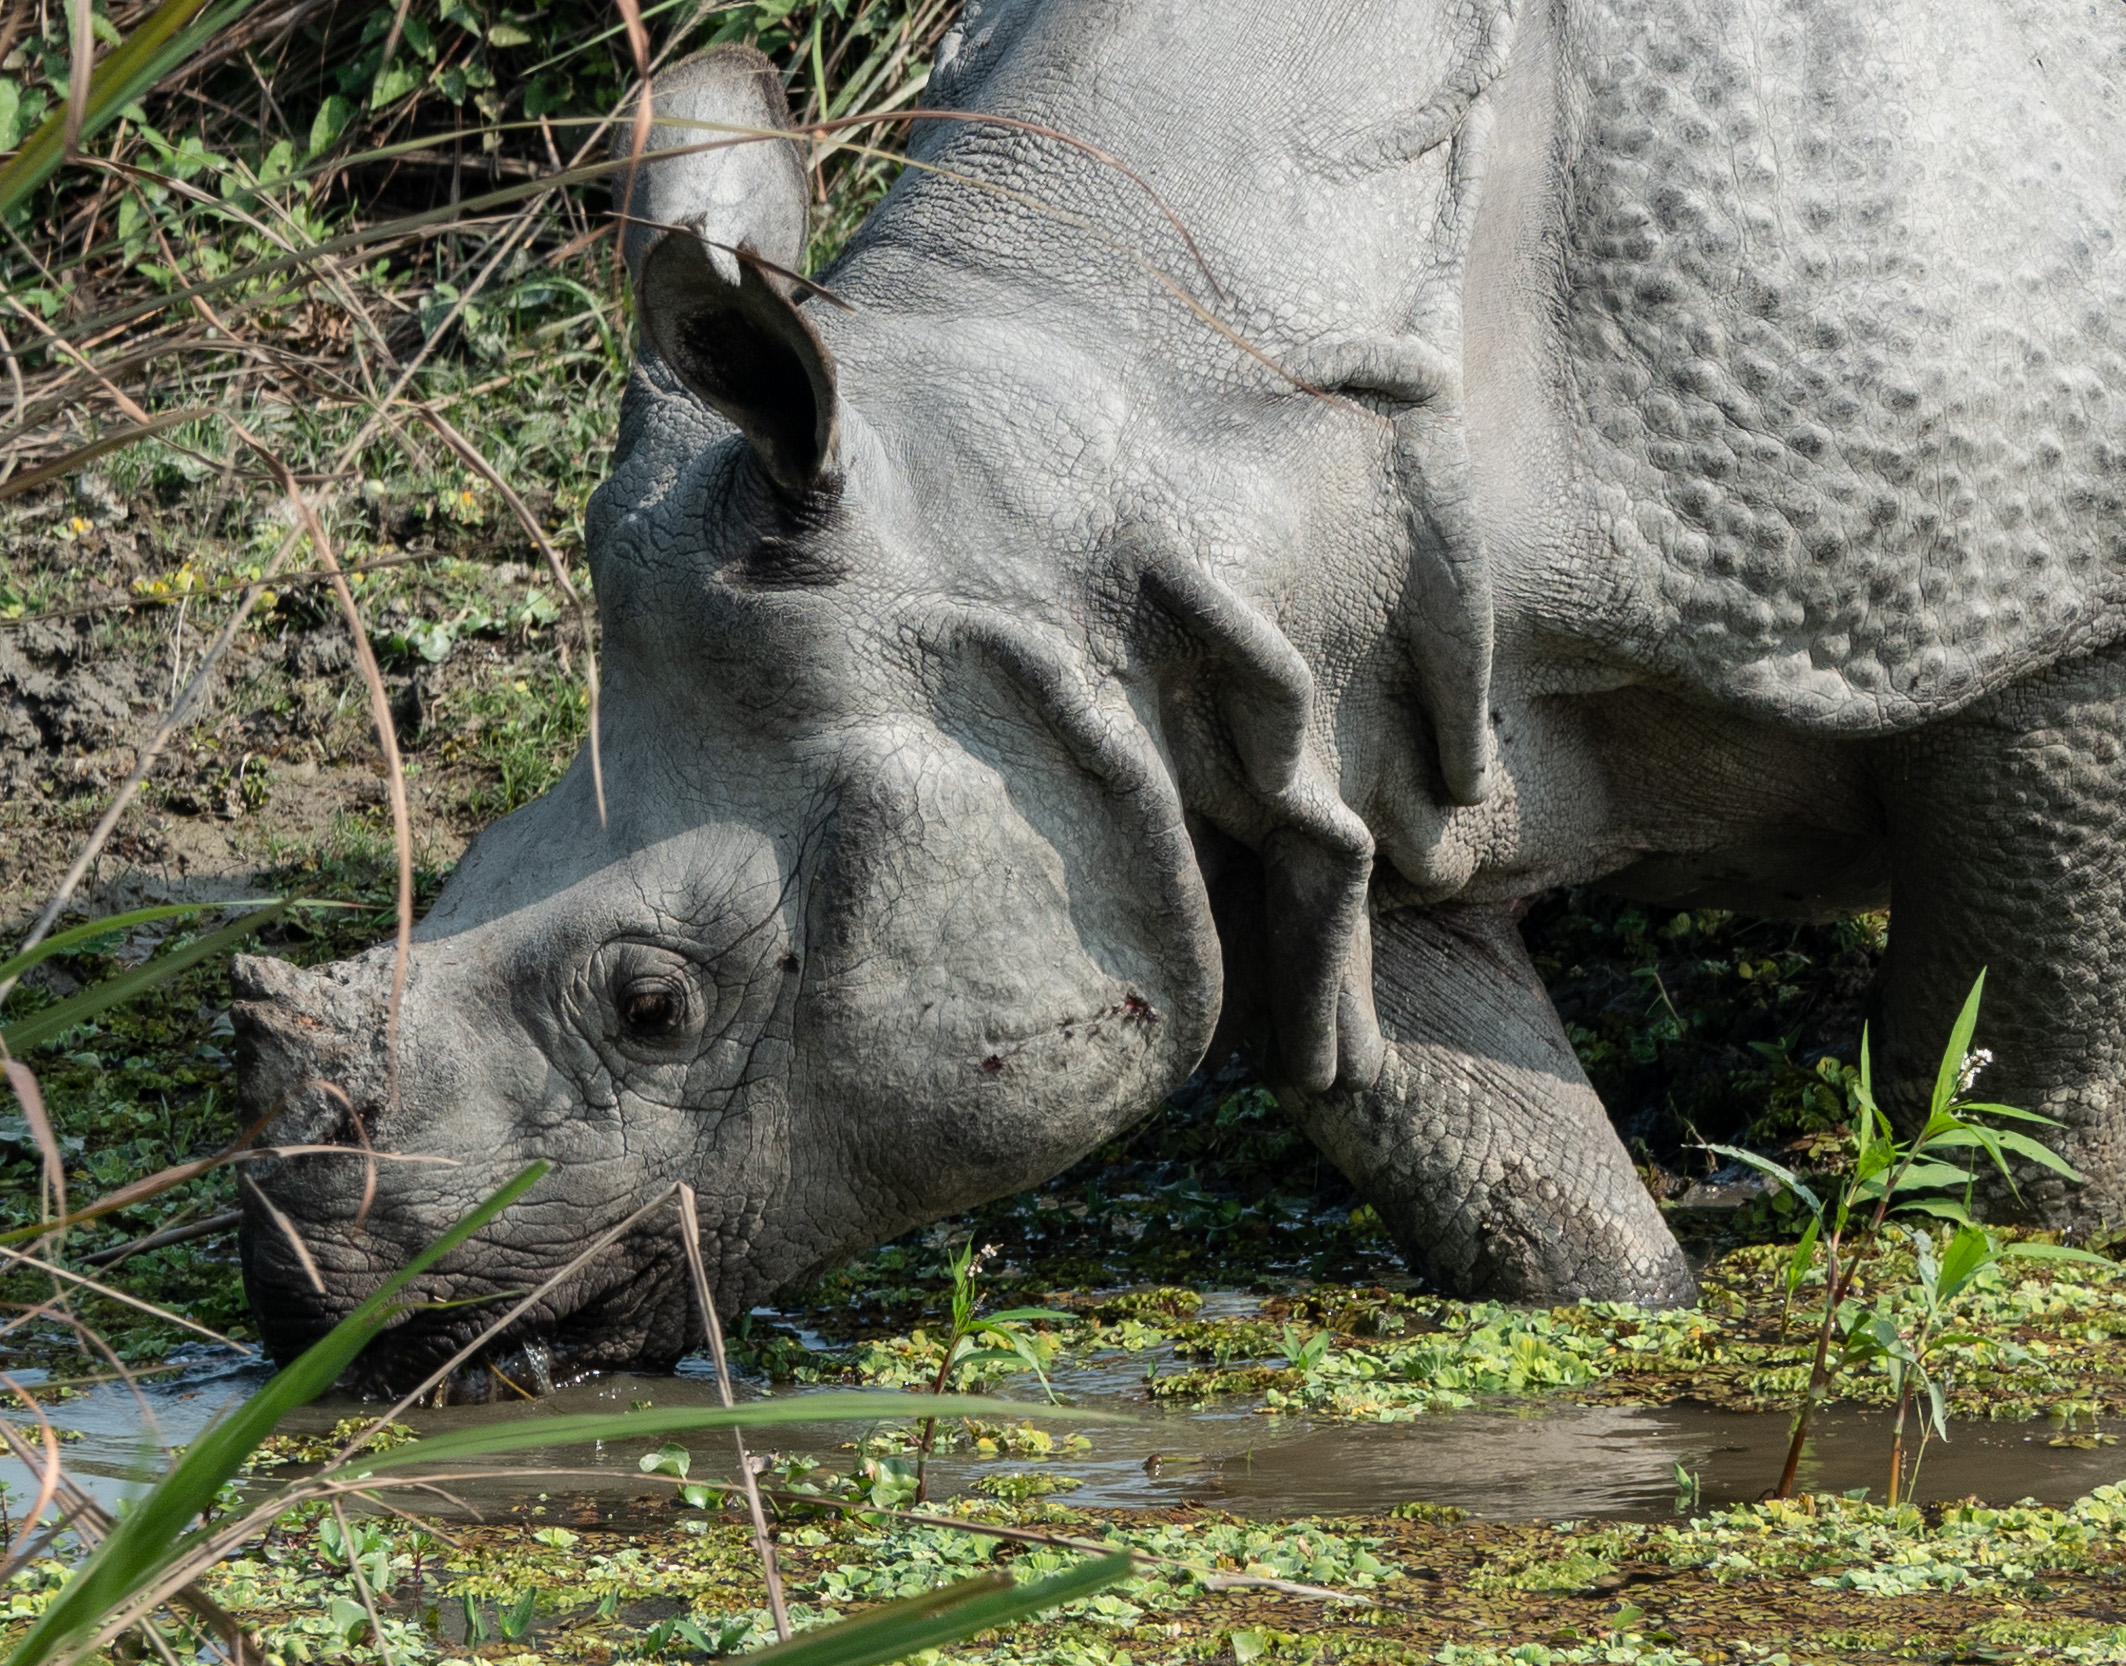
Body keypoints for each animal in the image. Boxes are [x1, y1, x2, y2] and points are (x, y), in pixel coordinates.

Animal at [235, 0, 2126, 1389]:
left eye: (652, 1006)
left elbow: (2026, 1107)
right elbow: (1503, 1174)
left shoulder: (2047, 633)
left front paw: (2021, 1248)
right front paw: (1631, 1311)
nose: (311, 1309)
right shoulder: (1292, 725)